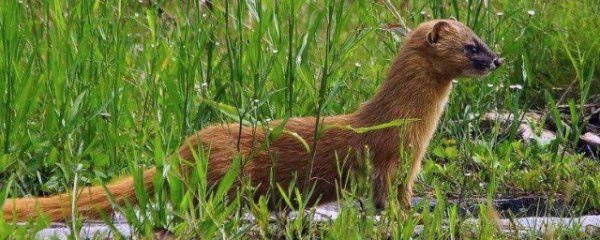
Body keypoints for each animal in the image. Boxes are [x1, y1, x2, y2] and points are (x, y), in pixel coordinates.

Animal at [2, 18, 502, 221]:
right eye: (471, 46)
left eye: (483, 39)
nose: (497, 59)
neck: (411, 127)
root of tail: (182, 152)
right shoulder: (386, 159)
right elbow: (383, 198)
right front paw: (397, 218)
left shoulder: (409, 167)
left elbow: (403, 196)